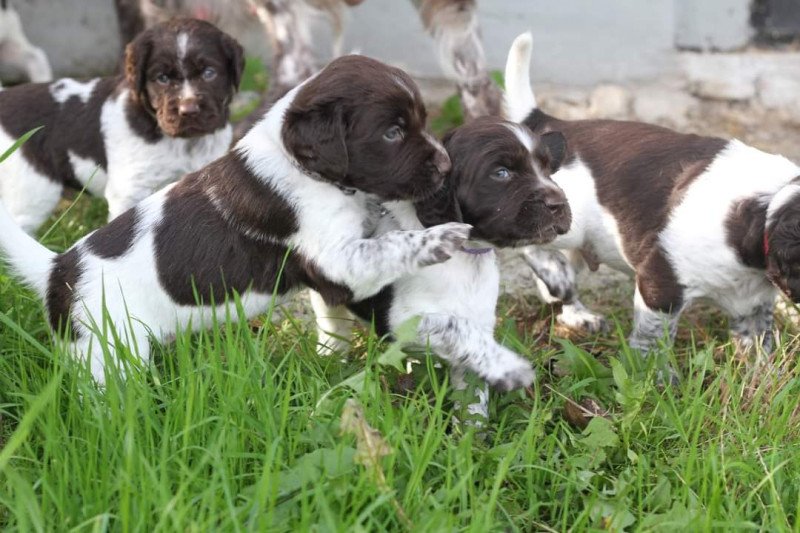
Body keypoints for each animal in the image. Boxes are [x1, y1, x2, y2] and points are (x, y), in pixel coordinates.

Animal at [0, 18, 244, 232]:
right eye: (162, 78)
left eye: (209, 73)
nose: (188, 110)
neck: (183, 143)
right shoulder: (130, 190)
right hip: (32, 190)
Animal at [0, 54, 472, 382]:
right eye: (392, 133)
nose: (447, 165)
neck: (306, 167)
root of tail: (57, 269)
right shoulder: (337, 258)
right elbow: (392, 246)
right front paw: (443, 237)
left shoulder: (330, 267)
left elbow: (332, 316)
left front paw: (330, 362)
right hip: (107, 355)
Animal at [310, 115, 572, 404]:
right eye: (501, 173)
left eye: (547, 169)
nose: (558, 204)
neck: (466, 256)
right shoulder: (403, 321)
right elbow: (452, 325)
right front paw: (509, 369)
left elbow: (471, 382)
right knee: (330, 316)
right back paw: (331, 355)